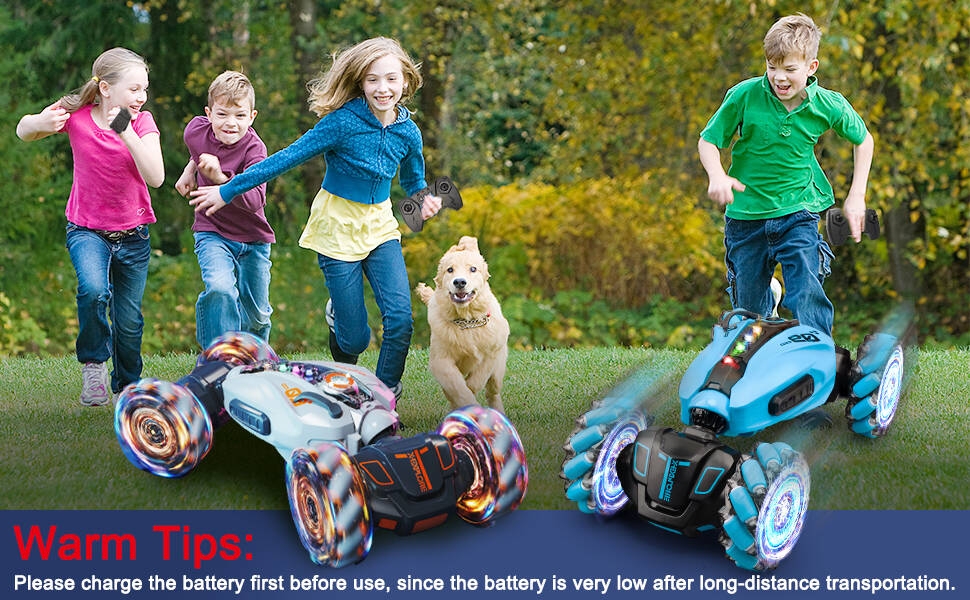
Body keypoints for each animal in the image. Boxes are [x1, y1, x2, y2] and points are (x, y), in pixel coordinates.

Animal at [414, 236, 510, 412]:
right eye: (450, 270)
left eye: (473, 269)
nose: (459, 282)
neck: (467, 320)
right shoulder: (441, 361)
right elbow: (458, 387)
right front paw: (468, 405)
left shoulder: (491, 353)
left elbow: (476, 380)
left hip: (498, 371)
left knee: (493, 391)